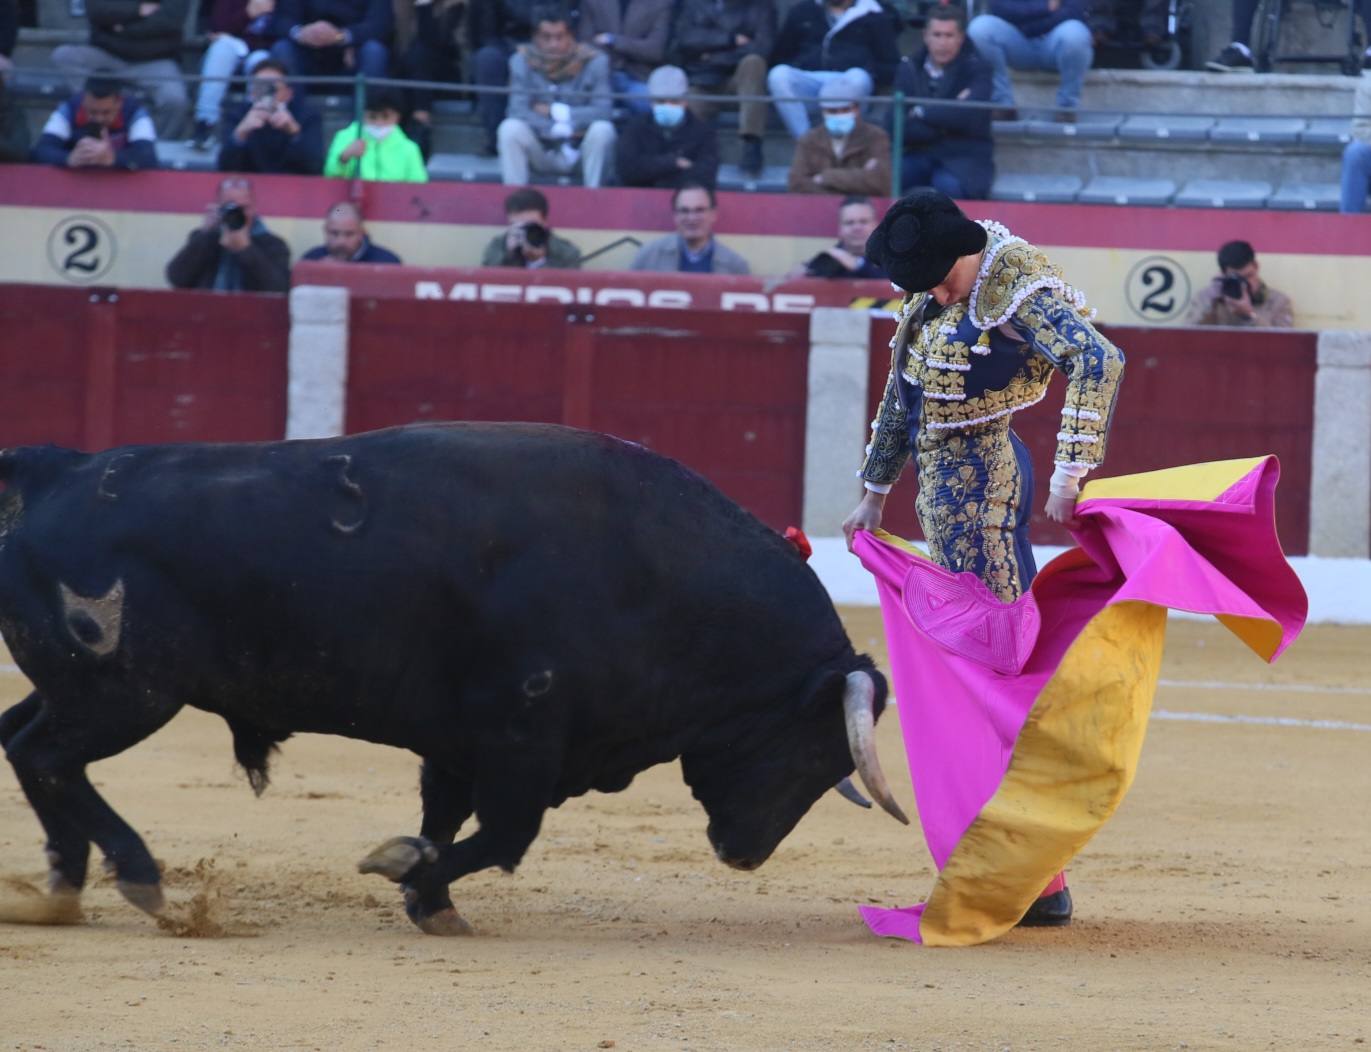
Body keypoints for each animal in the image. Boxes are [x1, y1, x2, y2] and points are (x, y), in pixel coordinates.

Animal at [2, 422, 910, 932]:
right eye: (811, 753)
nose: (742, 854)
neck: (657, 574)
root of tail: (57, 472)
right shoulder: (520, 733)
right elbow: (505, 834)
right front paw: (410, 875)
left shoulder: (460, 742)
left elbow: (446, 815)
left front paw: (428, 896)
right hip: (126, 692)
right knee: (51, 756)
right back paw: (138, 878)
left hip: (79, 687)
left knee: (23, 741)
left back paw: (60, 885)